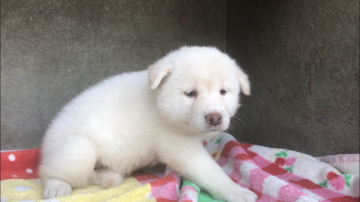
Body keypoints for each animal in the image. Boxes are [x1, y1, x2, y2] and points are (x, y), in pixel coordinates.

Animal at [39, 46, 258, 202]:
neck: (161, 105)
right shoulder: (179, 147)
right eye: (190, 93)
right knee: (52, 172)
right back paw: (57, 185)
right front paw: (237, 191)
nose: (215, 118)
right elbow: (212, 172)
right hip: (77, 149)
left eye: (223, 92)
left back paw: (107, 175)